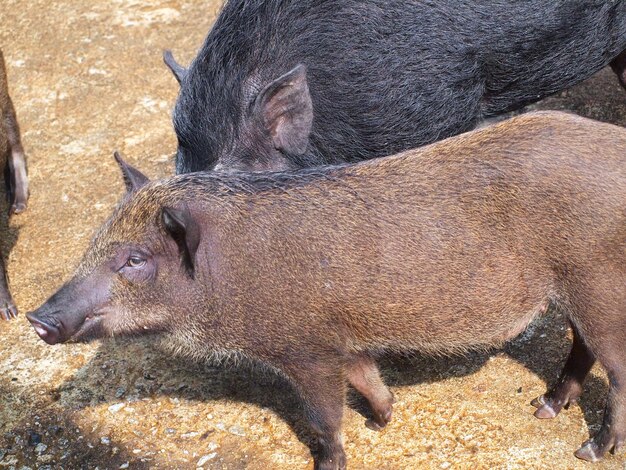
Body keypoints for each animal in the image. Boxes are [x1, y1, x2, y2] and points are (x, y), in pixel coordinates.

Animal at [26, 112, 624, 468]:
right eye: (95, 242)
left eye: (135, 260)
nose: (36, 317)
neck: (231, 272)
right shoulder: (342, 339)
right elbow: (366, 378)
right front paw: (382, 421)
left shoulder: (306, 349)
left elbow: (325, 416)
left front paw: (330, 460)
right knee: (582, 348)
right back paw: (544, 409)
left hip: (597, 281)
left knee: (616, 367)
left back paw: (589, 450)